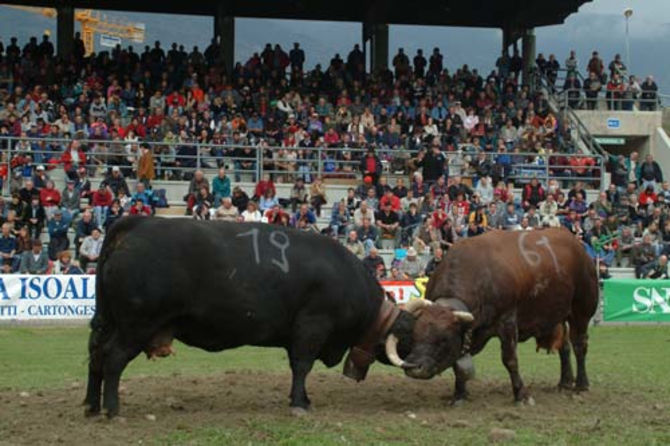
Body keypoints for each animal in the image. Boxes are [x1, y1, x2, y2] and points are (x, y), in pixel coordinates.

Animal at [384, 228, 600, 406]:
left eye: (443, 339)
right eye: (415, 334)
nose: (413, 366)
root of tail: (577, 245)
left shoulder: (508, 323)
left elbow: (510, 360)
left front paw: (521, 395)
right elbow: (458, 365)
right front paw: (459, 395)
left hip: (581, 311)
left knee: (580, 345)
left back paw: (581, 384)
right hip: (556, 318)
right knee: (564, 347)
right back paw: (564, 382)